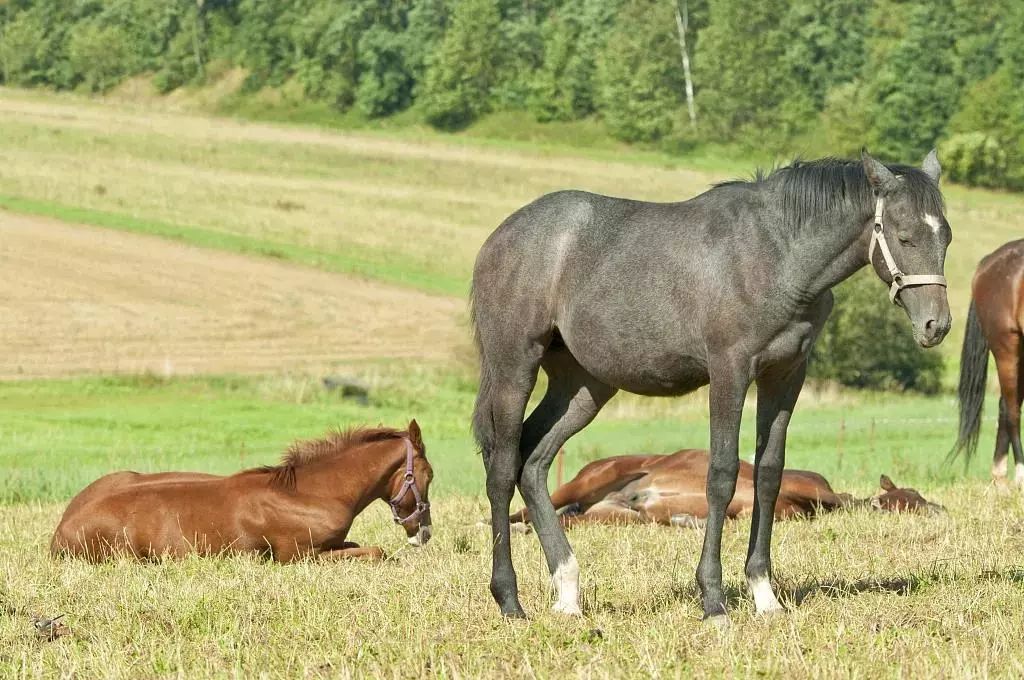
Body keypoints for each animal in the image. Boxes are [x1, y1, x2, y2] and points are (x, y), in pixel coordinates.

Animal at [50, 419, 432, 561]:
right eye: (428, 475)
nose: (424, 532)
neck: (310, 493)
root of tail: (60, 532)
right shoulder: (297, 557)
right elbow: (378, 551)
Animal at [471, 150, 950, 626]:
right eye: (904, 237)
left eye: (945, 237)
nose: (936, 326)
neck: (776, 254)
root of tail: (501, 238)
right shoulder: (729, 371)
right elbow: (721, 475)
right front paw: (714, 600)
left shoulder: (785, 375)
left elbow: (768, 474)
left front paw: (764, 595)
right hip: (515, 367)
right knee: (502, 469)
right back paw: (509, 600)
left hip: (584, 387)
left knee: (533, 462)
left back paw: (568, 591)